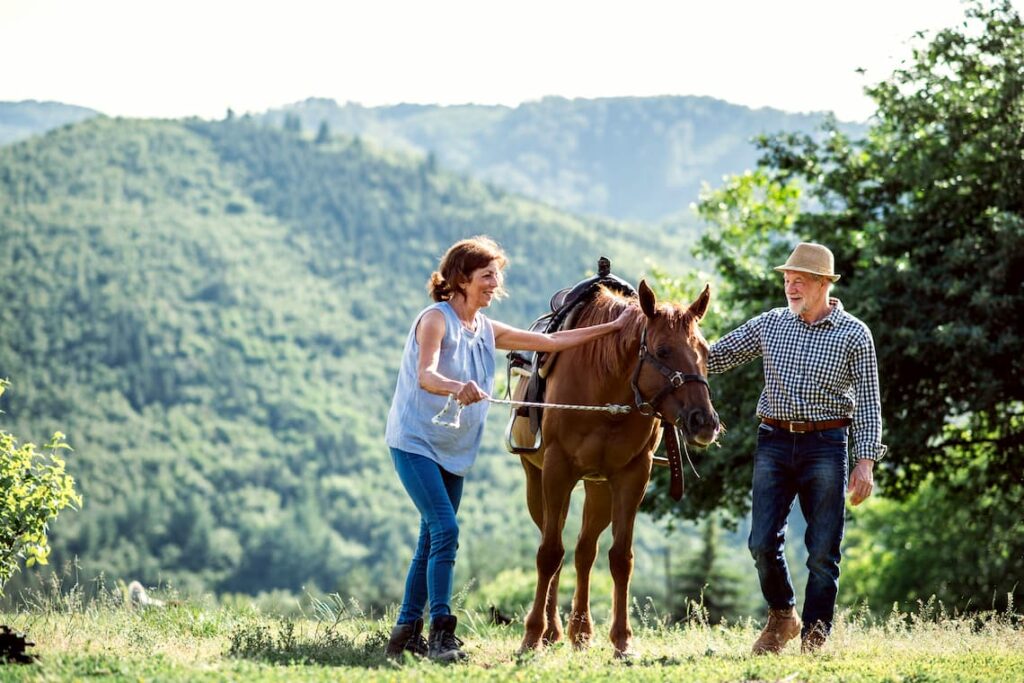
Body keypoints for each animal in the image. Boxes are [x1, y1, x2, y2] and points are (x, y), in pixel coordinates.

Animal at [512, 278, 720, 655]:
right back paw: (551, 630)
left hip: (599, 488)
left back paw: (580, 630)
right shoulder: (556, 472)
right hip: (538, 483)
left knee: (584, 551)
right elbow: (549, 554)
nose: (704, 421)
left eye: (706, 350)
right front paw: (532, 635)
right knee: (553, 542)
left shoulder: (632, 477)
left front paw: (622, 640)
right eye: (663, 351)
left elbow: (621, 558)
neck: (605, 385)